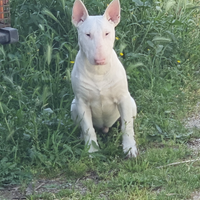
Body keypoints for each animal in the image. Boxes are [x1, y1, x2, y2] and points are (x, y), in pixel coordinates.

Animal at [70, 0, 138, 158]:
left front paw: (130, 149)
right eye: (87, 34)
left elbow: (127, 126)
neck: (98, 72)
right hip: (73, 106)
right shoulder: (82, 103)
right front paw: (91, 150)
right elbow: (88, 128)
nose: (100, 60)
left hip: (132, 103)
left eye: (107, 33)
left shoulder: (123, 99)